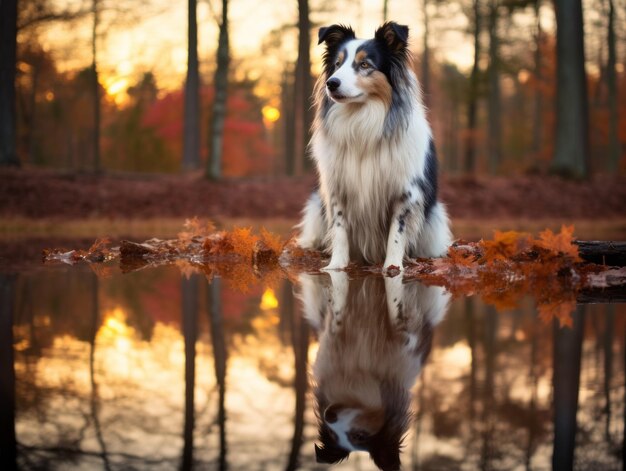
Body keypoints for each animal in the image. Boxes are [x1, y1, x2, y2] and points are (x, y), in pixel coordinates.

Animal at [296, 22, 448, 272]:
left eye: (365, 64)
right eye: (337, 64)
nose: (331, 83)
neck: (361, 118)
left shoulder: (405, 193)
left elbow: (397, 232)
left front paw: (392, 267)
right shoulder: (338, 188)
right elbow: (339, 229)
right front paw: (336, 266)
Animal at [298, 274, 448, 470]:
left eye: (359, 436)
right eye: (332, 435)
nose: (328, 416)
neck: (359, 373)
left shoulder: (408, 338)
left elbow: (397, 310)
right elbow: (336, 309)